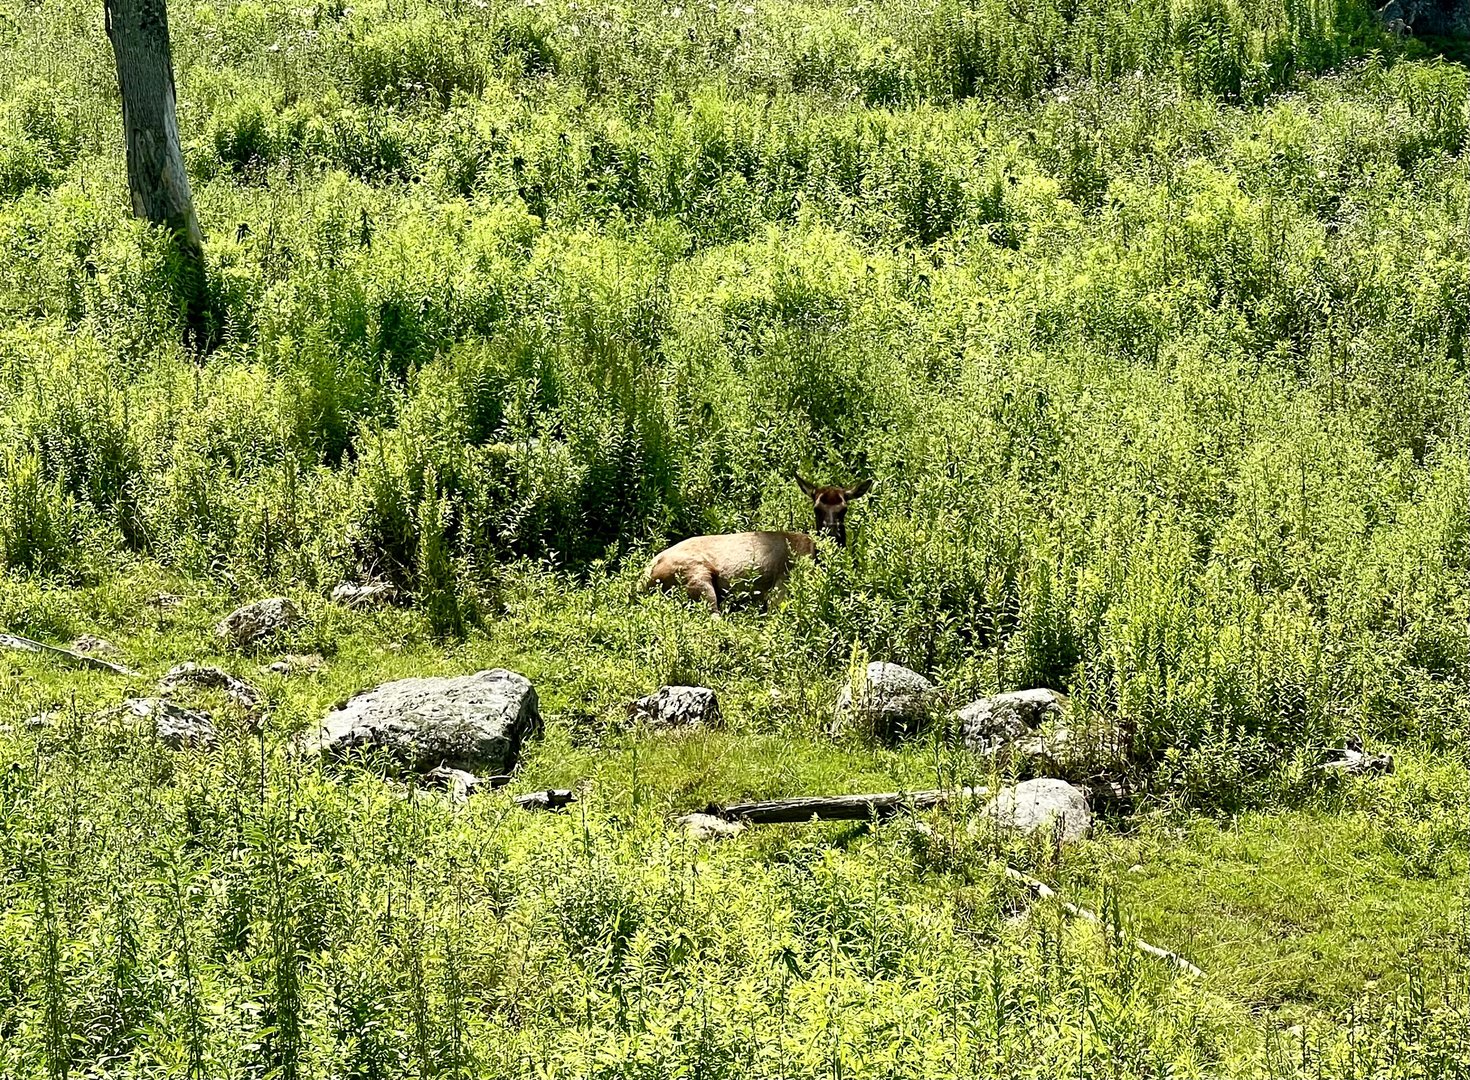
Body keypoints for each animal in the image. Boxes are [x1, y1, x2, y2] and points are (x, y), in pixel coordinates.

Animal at [642, 473, 873, 614]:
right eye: (817, 508)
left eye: (844, 509)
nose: (832, 532)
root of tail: (643, 579)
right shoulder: (781, 586)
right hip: (695, 576)